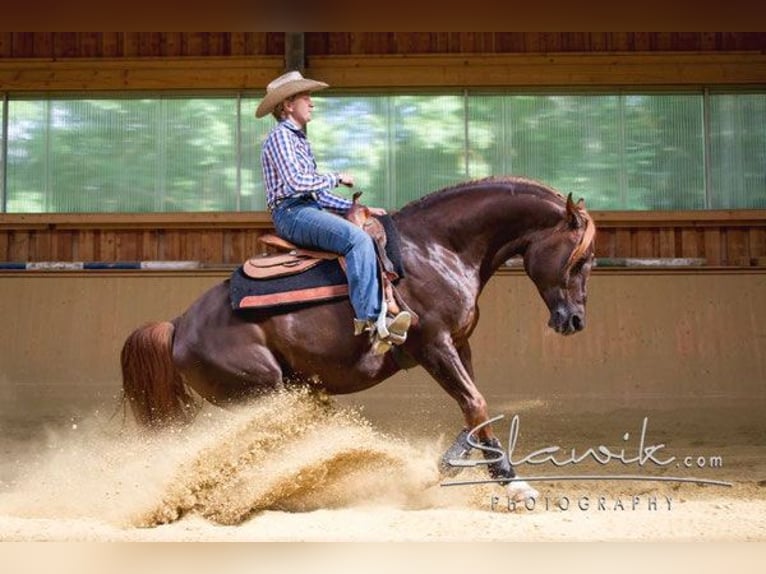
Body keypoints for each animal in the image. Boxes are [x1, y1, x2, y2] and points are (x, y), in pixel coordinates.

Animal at [121, 176, 596, 498]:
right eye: (582, 258)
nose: (574, 320)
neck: (438, 248)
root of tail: (178, 325)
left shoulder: (460, 344)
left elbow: (475, 406)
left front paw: (457, 462)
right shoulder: (434, 346)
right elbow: (475, 403)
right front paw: (510, 482)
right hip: (264, 392)